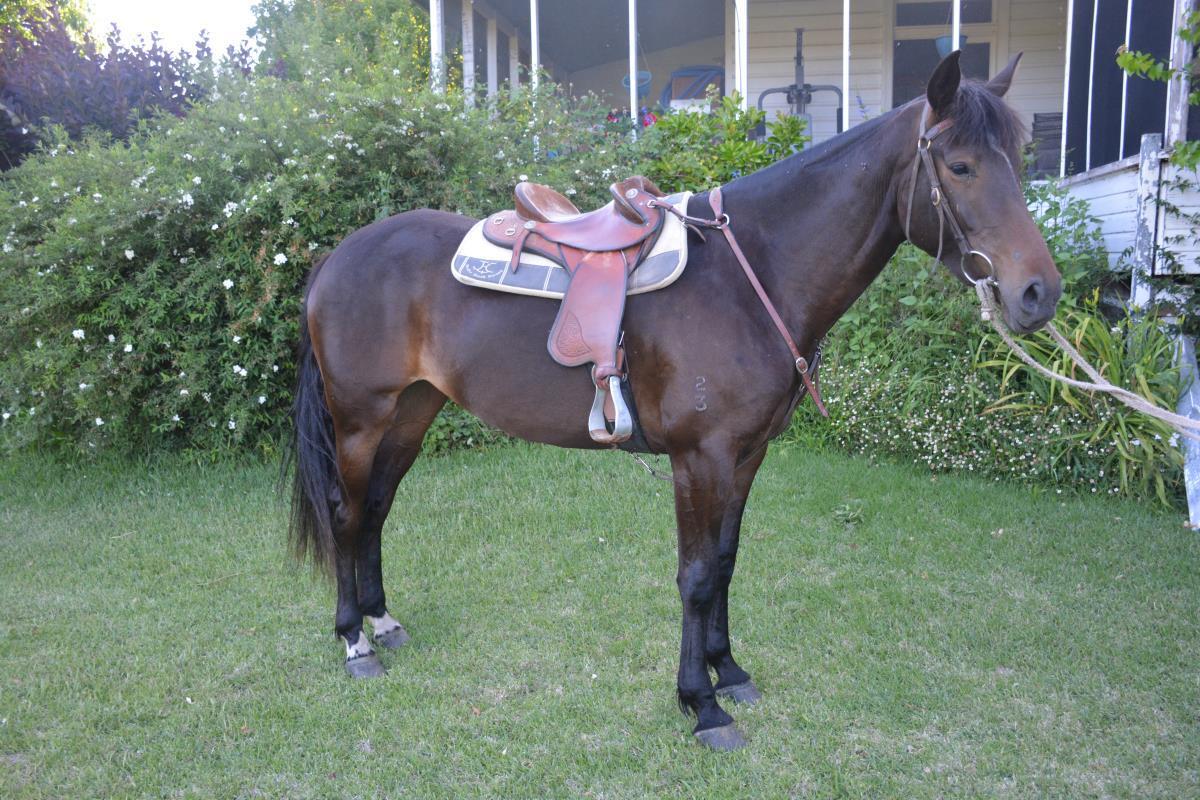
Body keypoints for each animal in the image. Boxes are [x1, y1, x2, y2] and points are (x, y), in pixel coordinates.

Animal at [286, 52, 1062, 751]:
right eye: (959, 166)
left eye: (1020, 159)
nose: (1039, 294)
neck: (749, 278)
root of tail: (336, 258)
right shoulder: (699, 458)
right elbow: (694, 576)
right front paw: (702, 705)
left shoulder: (745, 456)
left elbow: (726, 561)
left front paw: (729, 671)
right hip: (361, 419)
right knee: (346, 513)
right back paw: (354, 640)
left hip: (413, 412)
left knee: (376, 509)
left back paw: (383, 622)